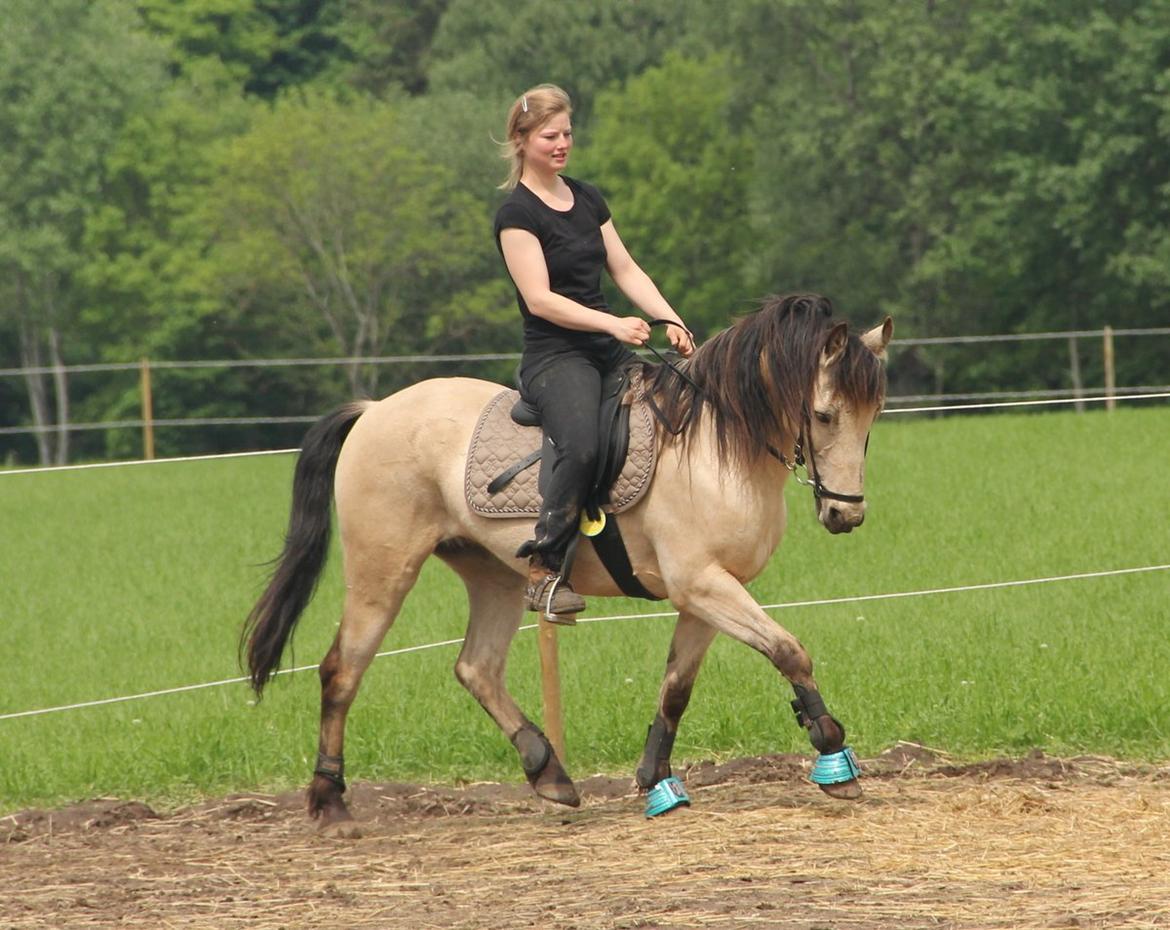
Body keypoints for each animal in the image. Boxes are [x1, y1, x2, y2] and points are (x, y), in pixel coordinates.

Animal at [244, 292, 884, 828]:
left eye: (873, 416)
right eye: (824, 415)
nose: (845, 514)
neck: (711, 446)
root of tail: (375, 409)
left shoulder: (705, 595)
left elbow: (677, 688)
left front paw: (657, 782)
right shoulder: (702, 584)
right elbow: (789, 650)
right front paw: (833, 753)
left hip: (494, 576)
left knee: (476, 668)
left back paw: (547, 771)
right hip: (383, 571)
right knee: (342, 670)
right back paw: (330, 803)